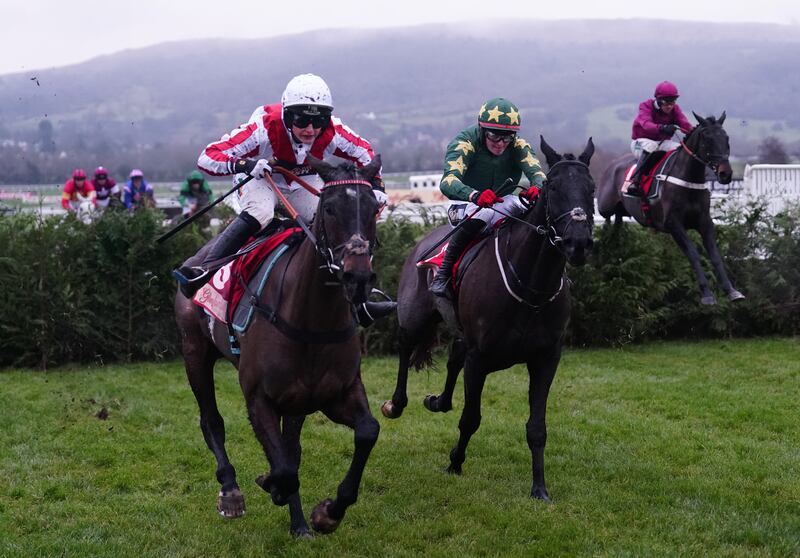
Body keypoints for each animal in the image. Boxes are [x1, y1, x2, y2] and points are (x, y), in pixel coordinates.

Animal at [174, 155, 384, 540]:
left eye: (375, 208)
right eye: (329, 208)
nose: (357, 276)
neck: (311, 321)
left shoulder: (338, 392)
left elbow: (366, 432)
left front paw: (327, 513)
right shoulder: (259, 398)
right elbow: (284, 469)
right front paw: (269, 483)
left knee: (291, 446)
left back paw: (298, 523)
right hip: (194, 351)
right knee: (211, 420)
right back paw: (230, 490)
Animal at [380, 137, 592, 504]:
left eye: (591, 187)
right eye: (553, 187)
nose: (577, 243)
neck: (531, 288)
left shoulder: (546, 358)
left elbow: (537, 428)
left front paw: (539, 487)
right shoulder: (480, 359)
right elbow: (470, 419)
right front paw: (455, 462)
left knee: (453, 358)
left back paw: (438, 401)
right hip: (414, 314)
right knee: (406, 346)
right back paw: (397, 403)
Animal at [596, 113, 748, 306]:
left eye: (726, 138)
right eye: (707, 139)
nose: (725, 174)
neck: (688, 179)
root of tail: (612, 165)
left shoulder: (705, 222)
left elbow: (715, 256)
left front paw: (732, 291)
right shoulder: (674, 225)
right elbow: (693, 254)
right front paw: (707, 294)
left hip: (622, 211)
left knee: (617, 219)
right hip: (604, 205)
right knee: (606, 216)